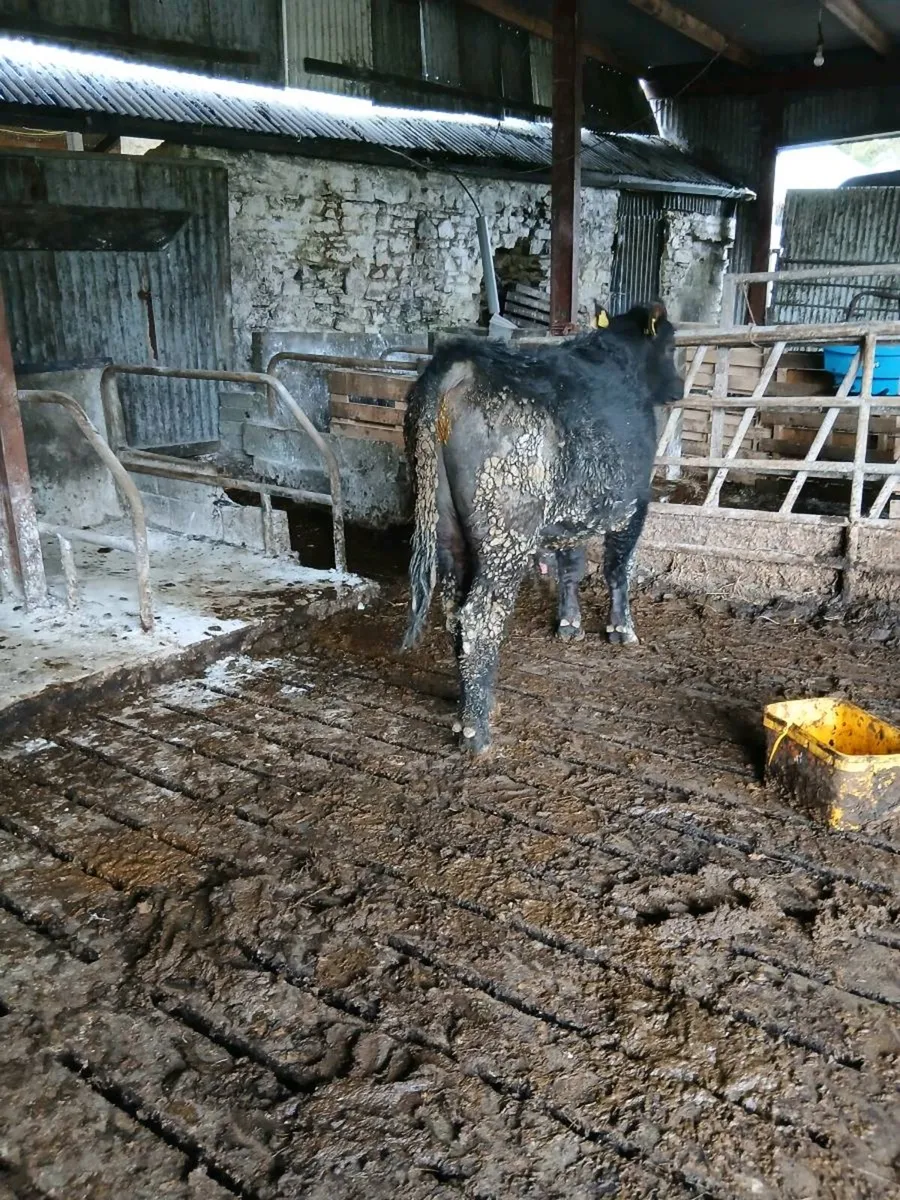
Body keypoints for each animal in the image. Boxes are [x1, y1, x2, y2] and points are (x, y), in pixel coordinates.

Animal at [400, 303, 682, 754]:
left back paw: (475, 707)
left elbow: (570, 567)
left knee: (454, 613)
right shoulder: (634, 502)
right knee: (479, 616)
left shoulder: (570, 515)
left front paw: (569, 624)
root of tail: (459, 363)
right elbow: (618, 568)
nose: (678, 388)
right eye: (671, 345)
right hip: (506, 531)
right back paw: (476, 733)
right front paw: (621, 629)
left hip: (445, 527)